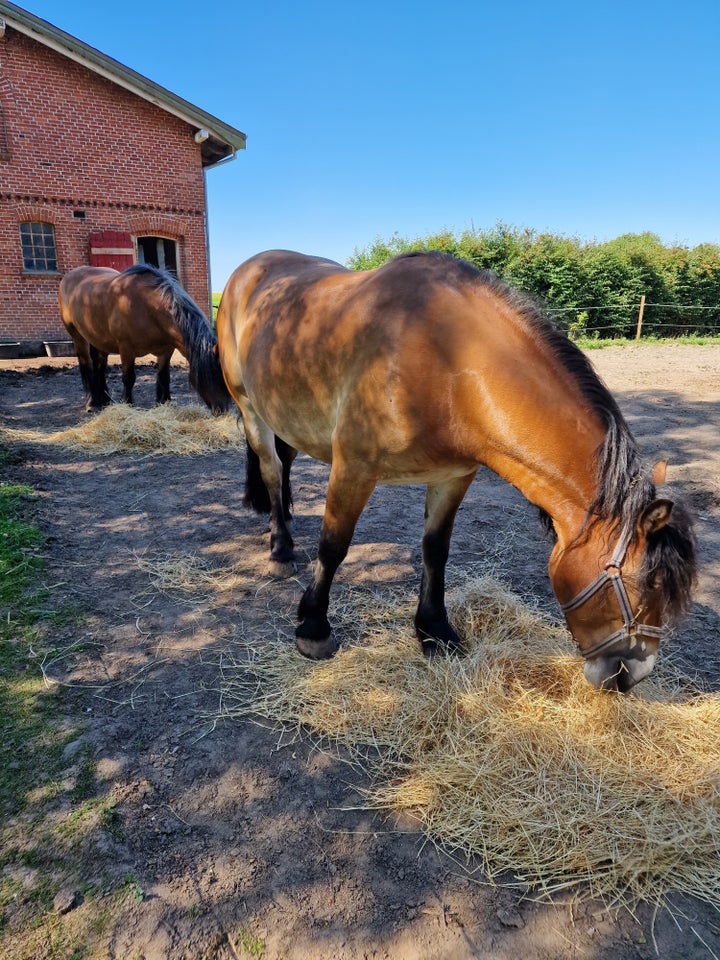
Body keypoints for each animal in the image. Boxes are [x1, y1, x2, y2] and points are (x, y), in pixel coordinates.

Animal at [60, 262, 233, 412]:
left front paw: (165, 403)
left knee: (99, 365)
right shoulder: (126, 349)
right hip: (78, 336)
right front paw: (128, 405)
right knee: (86, 364)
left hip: (99, 339)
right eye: (208, 376)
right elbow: (129, 378)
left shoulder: (167, 350)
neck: (147, 307)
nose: (222, 410)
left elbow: (164, 376)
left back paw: (106, 400)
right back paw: (92, 402)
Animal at [215, 249, 696, 688]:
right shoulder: (353, 467)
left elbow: (435, 550)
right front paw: (314, 628)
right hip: (251, 408)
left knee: (284, 465)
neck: (448, 362)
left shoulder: (452, 477)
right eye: (645, 585)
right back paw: (280, 548)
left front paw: (434, 630)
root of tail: (246, 271)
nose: (630, 675)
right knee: (271, 471)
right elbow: (333, 546)